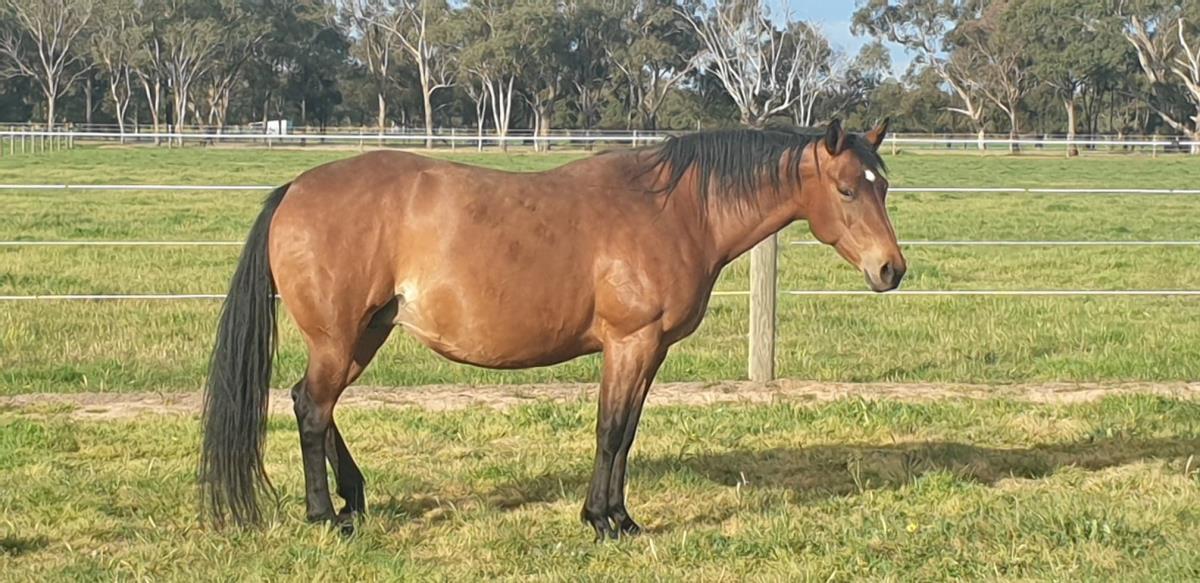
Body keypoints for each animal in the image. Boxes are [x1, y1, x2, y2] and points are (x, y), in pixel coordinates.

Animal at [198, 119, 906, 540]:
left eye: (884, 185)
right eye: (847, 189)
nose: (891, 269)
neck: (675, 211)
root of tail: (295, 188)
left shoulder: (648, 352)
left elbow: (626, 434)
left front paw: (619, 516)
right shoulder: (629, 343)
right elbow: (610, 431)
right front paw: (602, 521)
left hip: (363, 334)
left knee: (313, 403)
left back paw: (355, 499)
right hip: (339, 337)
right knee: (313, 409)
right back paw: (326, 517)